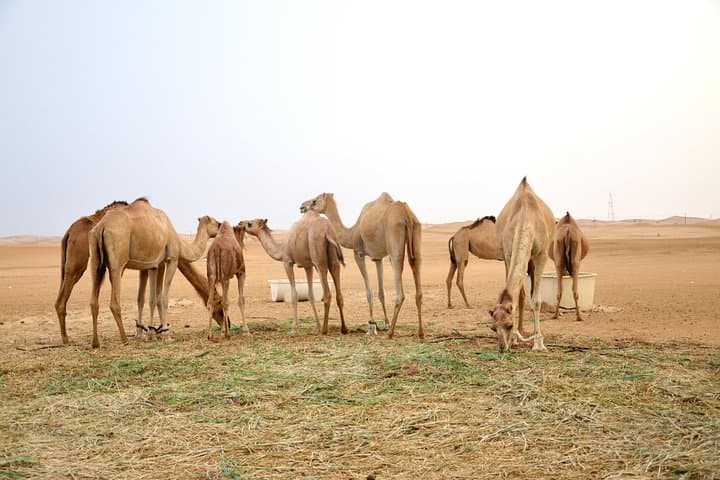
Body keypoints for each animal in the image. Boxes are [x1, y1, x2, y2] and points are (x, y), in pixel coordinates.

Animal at [54, 201, 226, 345]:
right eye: (219, 303)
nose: (227, 322)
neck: (180, 243)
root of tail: (101, 226)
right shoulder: (170, 260)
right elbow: (162, 298)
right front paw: (164, 334)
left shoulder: (153, 265)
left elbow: (149, 299)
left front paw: (150, 333)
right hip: (115, 262)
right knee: (113, 300)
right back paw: (123, 339)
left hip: (95, 260)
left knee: (92, 300)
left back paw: (94, 342)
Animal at [300, 192, 422, 339]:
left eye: (314, 201)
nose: (302, 206)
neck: (352, 232)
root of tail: (406, 215)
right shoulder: (377, 257)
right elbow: (381, 292)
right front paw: (385, 324)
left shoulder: (358, 253)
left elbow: (369, 292)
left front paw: (371, 326)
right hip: (417, 234)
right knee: (417, 270)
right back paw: (420, 332)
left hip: (395, 246)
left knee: (400, 288)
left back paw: (391, 333)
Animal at [488, 178, 555, 352]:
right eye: (493, 327)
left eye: (509, 325)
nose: (502, 347)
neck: (527, 217)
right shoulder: (507, 253)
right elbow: (518, 296)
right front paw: (514, 340)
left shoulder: (541, 255)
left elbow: (537, 300)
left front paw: (539, 343)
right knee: (523, 294)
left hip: (533, 261)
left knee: (532, 295)